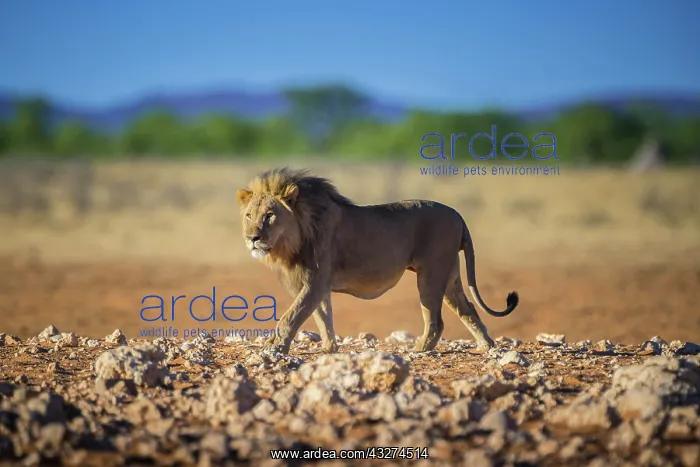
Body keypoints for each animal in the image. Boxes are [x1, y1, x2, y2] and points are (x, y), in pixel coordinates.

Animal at [236, 167, 519, 354]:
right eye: (249, 216)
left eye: (270, 215)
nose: (252, 238)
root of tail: (458, 215)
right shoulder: (318, 286)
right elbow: (322, 317)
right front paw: (328, 348)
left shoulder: (314, 282)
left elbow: (291, 316)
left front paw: (274, 349)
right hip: (450, 276)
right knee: (467, 309)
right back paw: (487, 346)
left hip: (431, 273)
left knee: (436, 321)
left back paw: (419, 349)